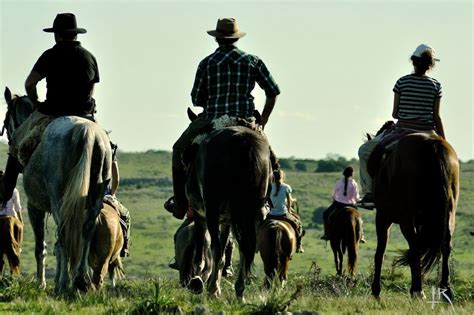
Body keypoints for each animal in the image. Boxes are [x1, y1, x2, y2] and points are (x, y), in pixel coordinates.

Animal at [3, 87, 111, 292]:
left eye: (6, 121)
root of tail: (87, 133)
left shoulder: (34, 206)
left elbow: (41, 246)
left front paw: (41, 282)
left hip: (59, 201)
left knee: (63, 237)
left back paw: (63, 283)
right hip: (93, 201)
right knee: (86, 232)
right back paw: (80, 280)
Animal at [187, 118, 272, 298]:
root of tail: (244, 141)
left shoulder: (200, 215)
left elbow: (201, 253)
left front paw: (199, 281)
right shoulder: (227, 219)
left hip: (212, 210)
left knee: (217, 247)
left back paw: (213, 289)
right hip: (252, 212)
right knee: (245, 247)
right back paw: (239, 290)